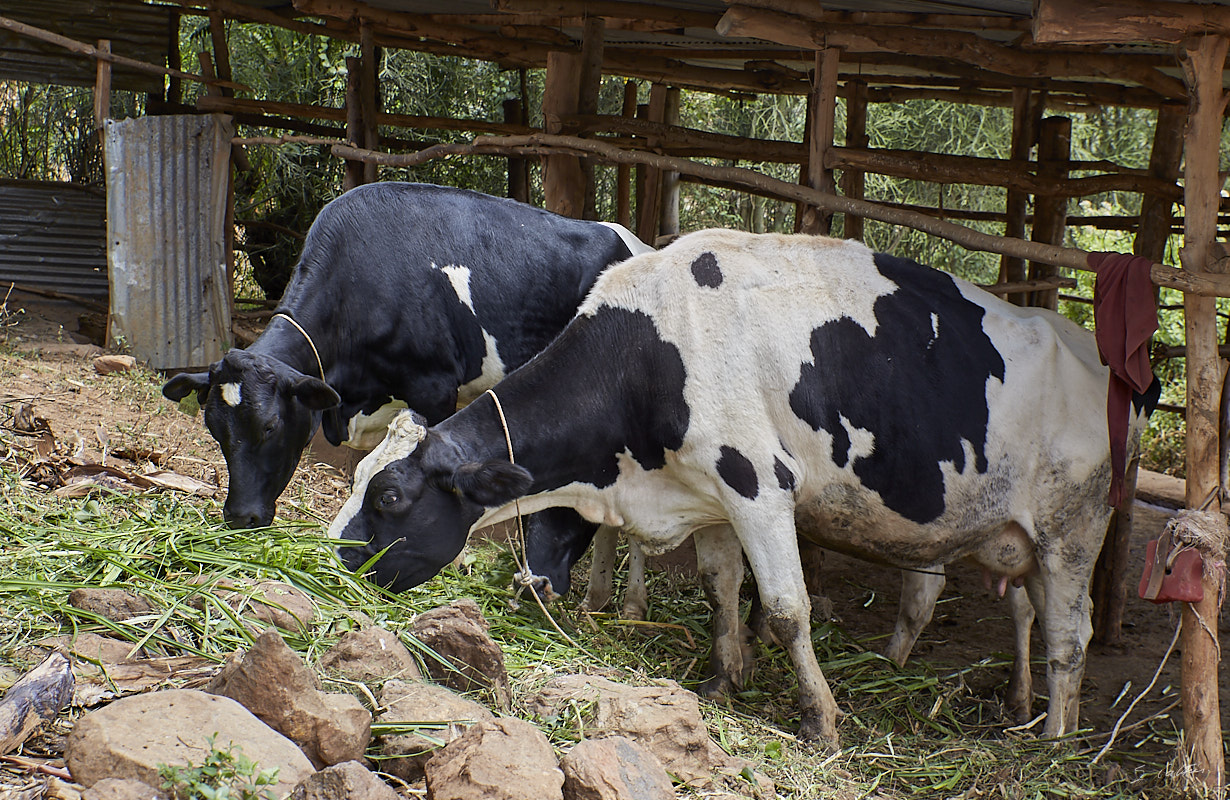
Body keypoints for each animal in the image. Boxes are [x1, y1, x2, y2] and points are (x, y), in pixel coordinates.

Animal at [324, 228, 1151, 743]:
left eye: (390, 497)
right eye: (358, 478)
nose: (334, 559)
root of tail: (1104, 361)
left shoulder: (759, 486)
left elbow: (785, 609)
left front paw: (819, 720)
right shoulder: (711, 494)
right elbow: (722, 588)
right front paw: (725, 681)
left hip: (1073, 529)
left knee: (1070, 635)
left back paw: (1052, 740)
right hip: (1016, 539)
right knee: (1030, 616)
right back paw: (1018, 706)